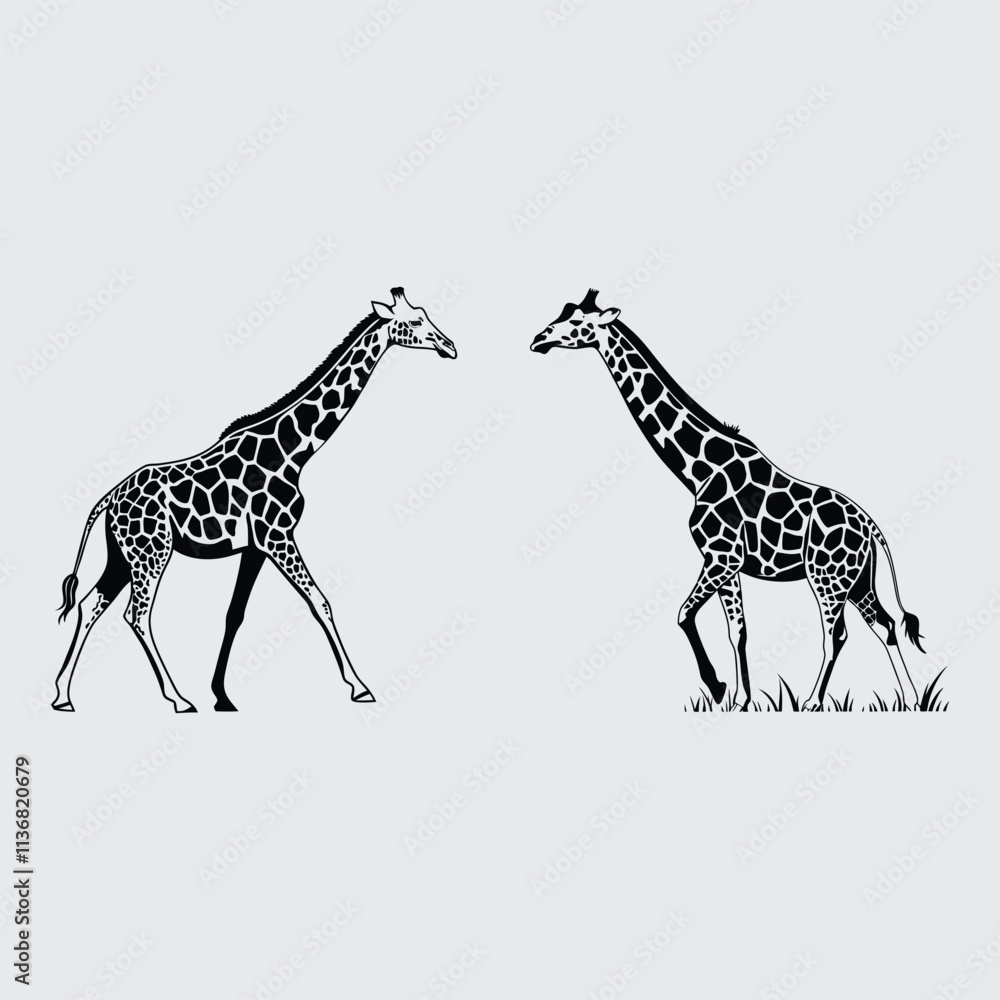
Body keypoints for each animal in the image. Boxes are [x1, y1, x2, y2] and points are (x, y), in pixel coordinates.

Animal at [53, 288, 457, 713]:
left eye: (424, 314)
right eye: (414, 321)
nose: (450, 347)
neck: (294, 450)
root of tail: (109, 499)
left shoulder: (255, 546)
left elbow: (235, 613)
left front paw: (222, 696)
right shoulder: (277, 536)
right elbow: (320, 602)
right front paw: (360, 686)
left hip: (123, 554)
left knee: (90, 604)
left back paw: (62, 695)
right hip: (151, 552)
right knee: (136, 614)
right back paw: (178, 698)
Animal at [530, 289, 925, 711]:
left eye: (576, 322)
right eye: (562, 314)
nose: (538, 340)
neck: (699, 471)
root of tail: (869, 526)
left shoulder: (720, 557)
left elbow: (683, 615)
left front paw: (718, 687)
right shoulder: (728, 564)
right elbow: (738, 632)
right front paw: (739, 700)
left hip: (827, 576)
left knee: (837, 635)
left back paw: (812, 702)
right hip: (856, 579)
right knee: (885, 625)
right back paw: (911, 699)